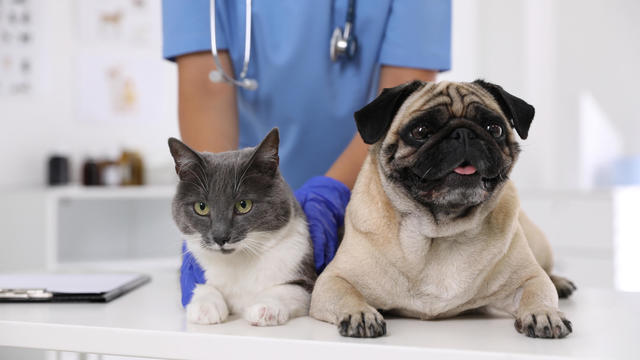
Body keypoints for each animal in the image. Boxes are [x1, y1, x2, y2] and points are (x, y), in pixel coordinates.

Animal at [166, 129, 314, 326]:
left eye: (244, 205)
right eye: (201, 207)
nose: (220, 237)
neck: (238, 261)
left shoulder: (303, 266)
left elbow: (290, 289)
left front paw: (266, 307)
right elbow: (200, 285)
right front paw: (205, 306)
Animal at [308, 80, 576, 338]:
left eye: (495, 129)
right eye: (420, 131)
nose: (463, 133)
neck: (441, 233)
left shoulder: (528, 278)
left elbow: (538, 290)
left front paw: (544, 314)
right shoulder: (333, 280)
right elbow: (347, 294)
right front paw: (361, 314)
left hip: (538, 243)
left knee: (547, 272)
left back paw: (560, 283)